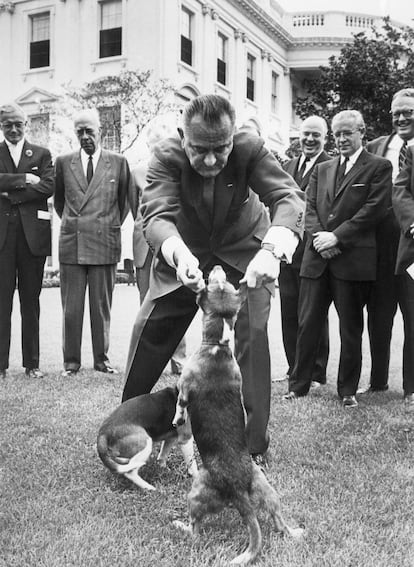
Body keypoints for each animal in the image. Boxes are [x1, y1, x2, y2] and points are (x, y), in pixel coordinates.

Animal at [171, 268, 304, 567]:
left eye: (212, 281)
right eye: (225, 284)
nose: (217, 268)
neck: (217, 346)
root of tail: (238, 490)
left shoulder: (184, 386)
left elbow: (180, 404)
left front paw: (178, 417)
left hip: (196, 492)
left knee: (196, 529)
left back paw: (182, 527)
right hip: (267, 489)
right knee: (279, 522)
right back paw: (296, 532)